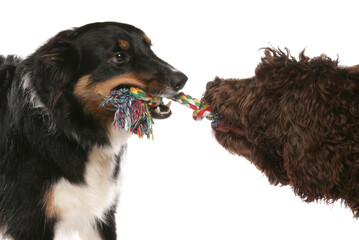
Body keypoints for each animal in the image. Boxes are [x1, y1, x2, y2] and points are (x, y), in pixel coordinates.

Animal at [0, 21, 188, 239]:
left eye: (149, 47)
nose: (182, 79)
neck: (73, 128)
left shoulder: (101, 213)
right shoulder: (29, 220)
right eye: (119, 56)